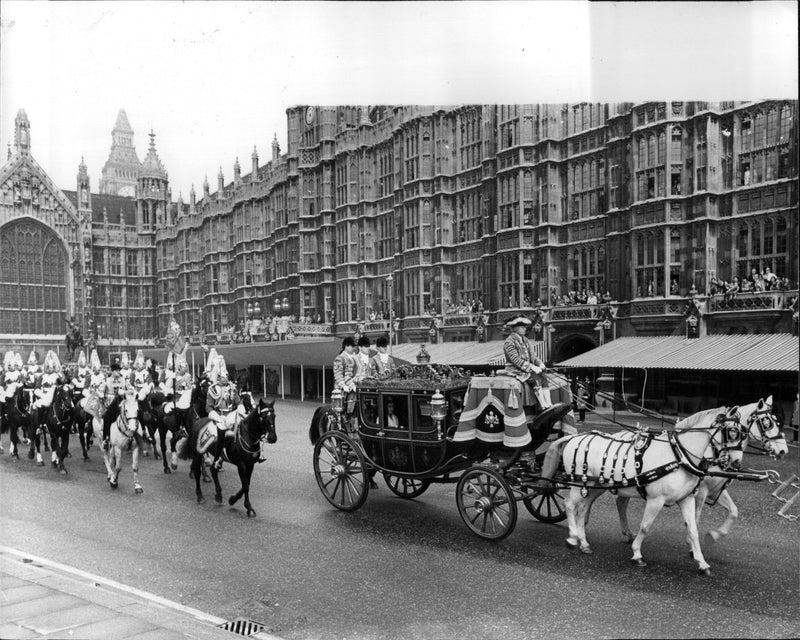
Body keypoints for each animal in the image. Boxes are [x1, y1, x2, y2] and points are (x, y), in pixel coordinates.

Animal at [536, 408, 744, 576]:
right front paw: (637, 553)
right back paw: (572, 537)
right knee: (569, 505)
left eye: (743, 433)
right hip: (579, 483)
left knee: (583, 508)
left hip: (595, 486)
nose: (735, 463)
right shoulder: (655, 500)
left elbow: (693, 530)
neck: (678, 456)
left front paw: (701, 562)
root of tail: (573, 437)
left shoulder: (686, 499)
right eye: (732, 432)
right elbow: (645, 526)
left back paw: (583, 542)